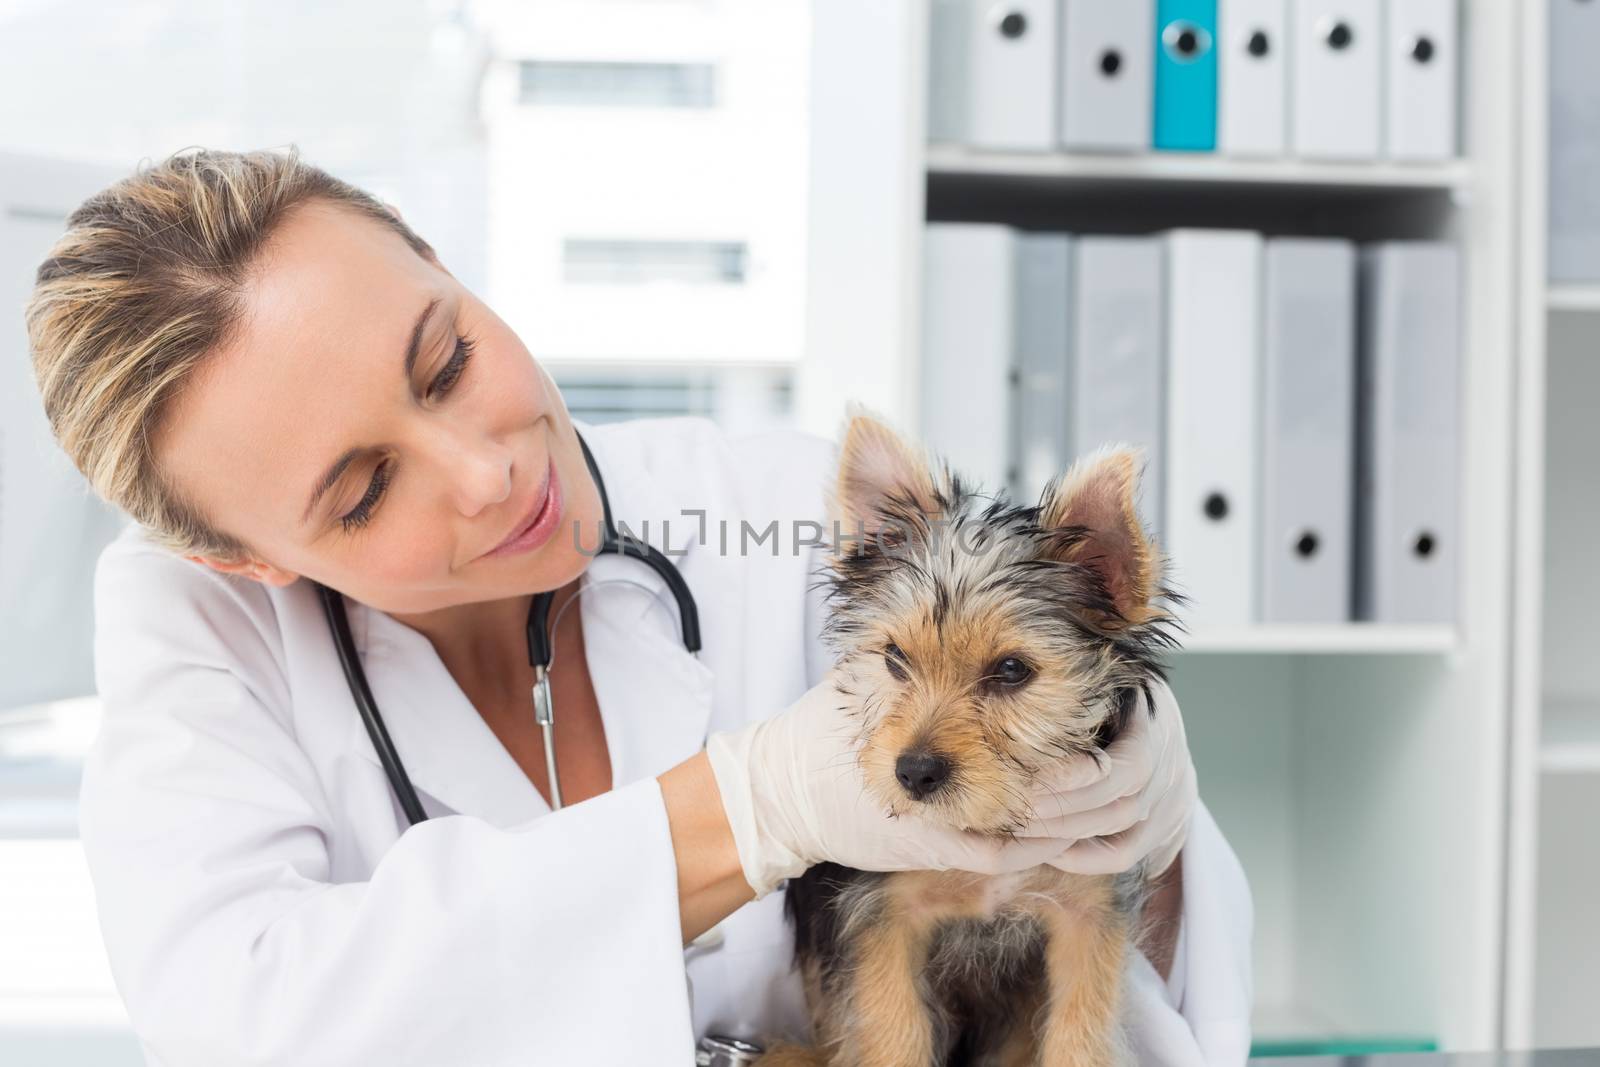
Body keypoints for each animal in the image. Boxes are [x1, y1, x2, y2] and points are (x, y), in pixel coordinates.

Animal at [755, 415, 1184, 1067]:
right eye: (894, 658)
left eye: (1011, 670)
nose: (914, 772)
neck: (990, 832)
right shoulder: (883, 917)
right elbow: (895, 1032)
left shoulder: (1089, 915)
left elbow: (1082, 1029)